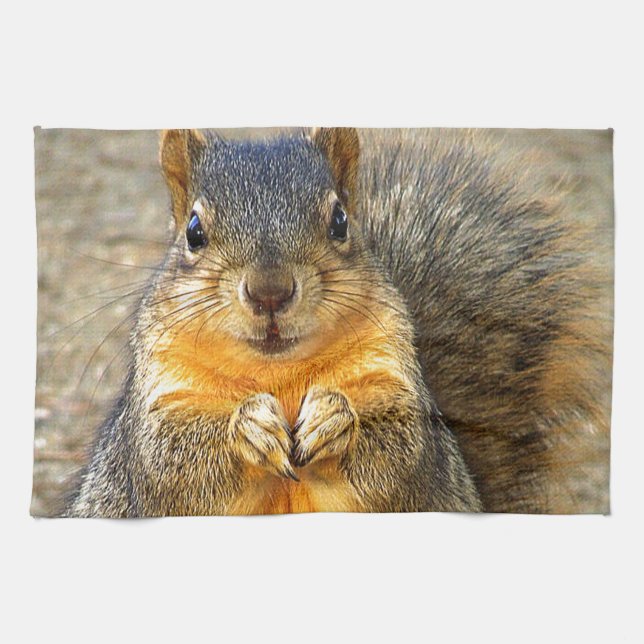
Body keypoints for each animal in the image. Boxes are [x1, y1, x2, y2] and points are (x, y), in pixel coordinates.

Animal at [66, 127, 611, 517]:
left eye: (340, 221)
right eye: (194, 231)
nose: (270, 291)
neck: (278, 373)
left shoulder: (398, 385)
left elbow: (402, 451)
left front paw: (335, 417)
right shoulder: (157, 408)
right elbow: (170, 460)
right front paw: (248, 426)